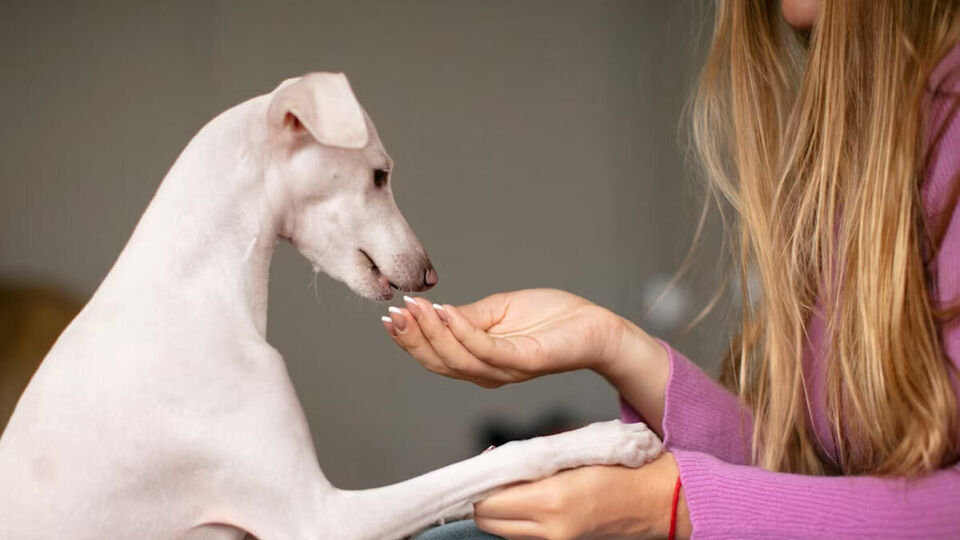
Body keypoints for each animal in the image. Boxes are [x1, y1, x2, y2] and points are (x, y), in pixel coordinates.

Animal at [0, 73, 660, 540]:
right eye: (379, 175)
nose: (429, 274)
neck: (187, 293)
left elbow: (462, 488)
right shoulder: (321, 518)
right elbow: (491, 462)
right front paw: (609, 441)